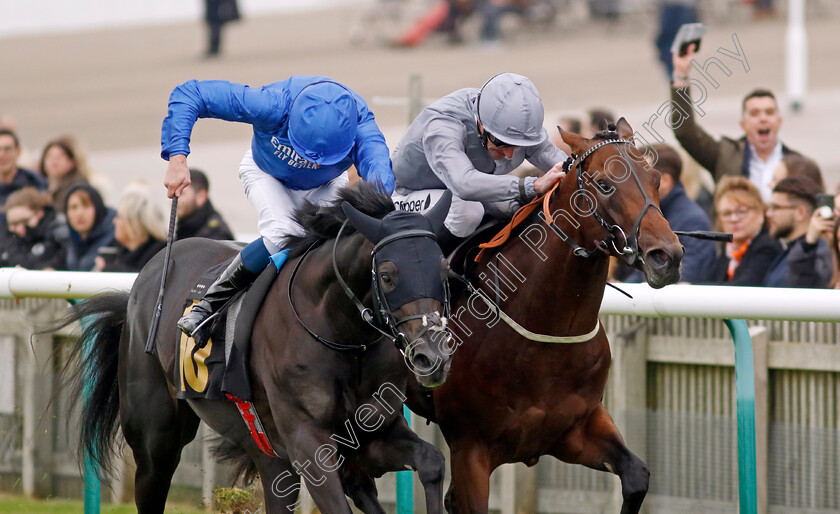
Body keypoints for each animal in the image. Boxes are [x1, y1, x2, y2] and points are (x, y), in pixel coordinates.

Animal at [46, 185, 456, 512]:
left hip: (266, 450)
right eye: (387, 275)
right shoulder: (309, 443)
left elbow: (432, 461)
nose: (432, 356)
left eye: (443, 268)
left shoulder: (369, 433)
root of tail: (146, 277)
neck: (342, 335)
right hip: (155, 438)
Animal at [408, 117, 688, 512]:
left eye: (656, 177)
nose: (667, 256)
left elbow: (636, 477)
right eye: (604, 184)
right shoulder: (470, 449)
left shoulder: (574, 429)